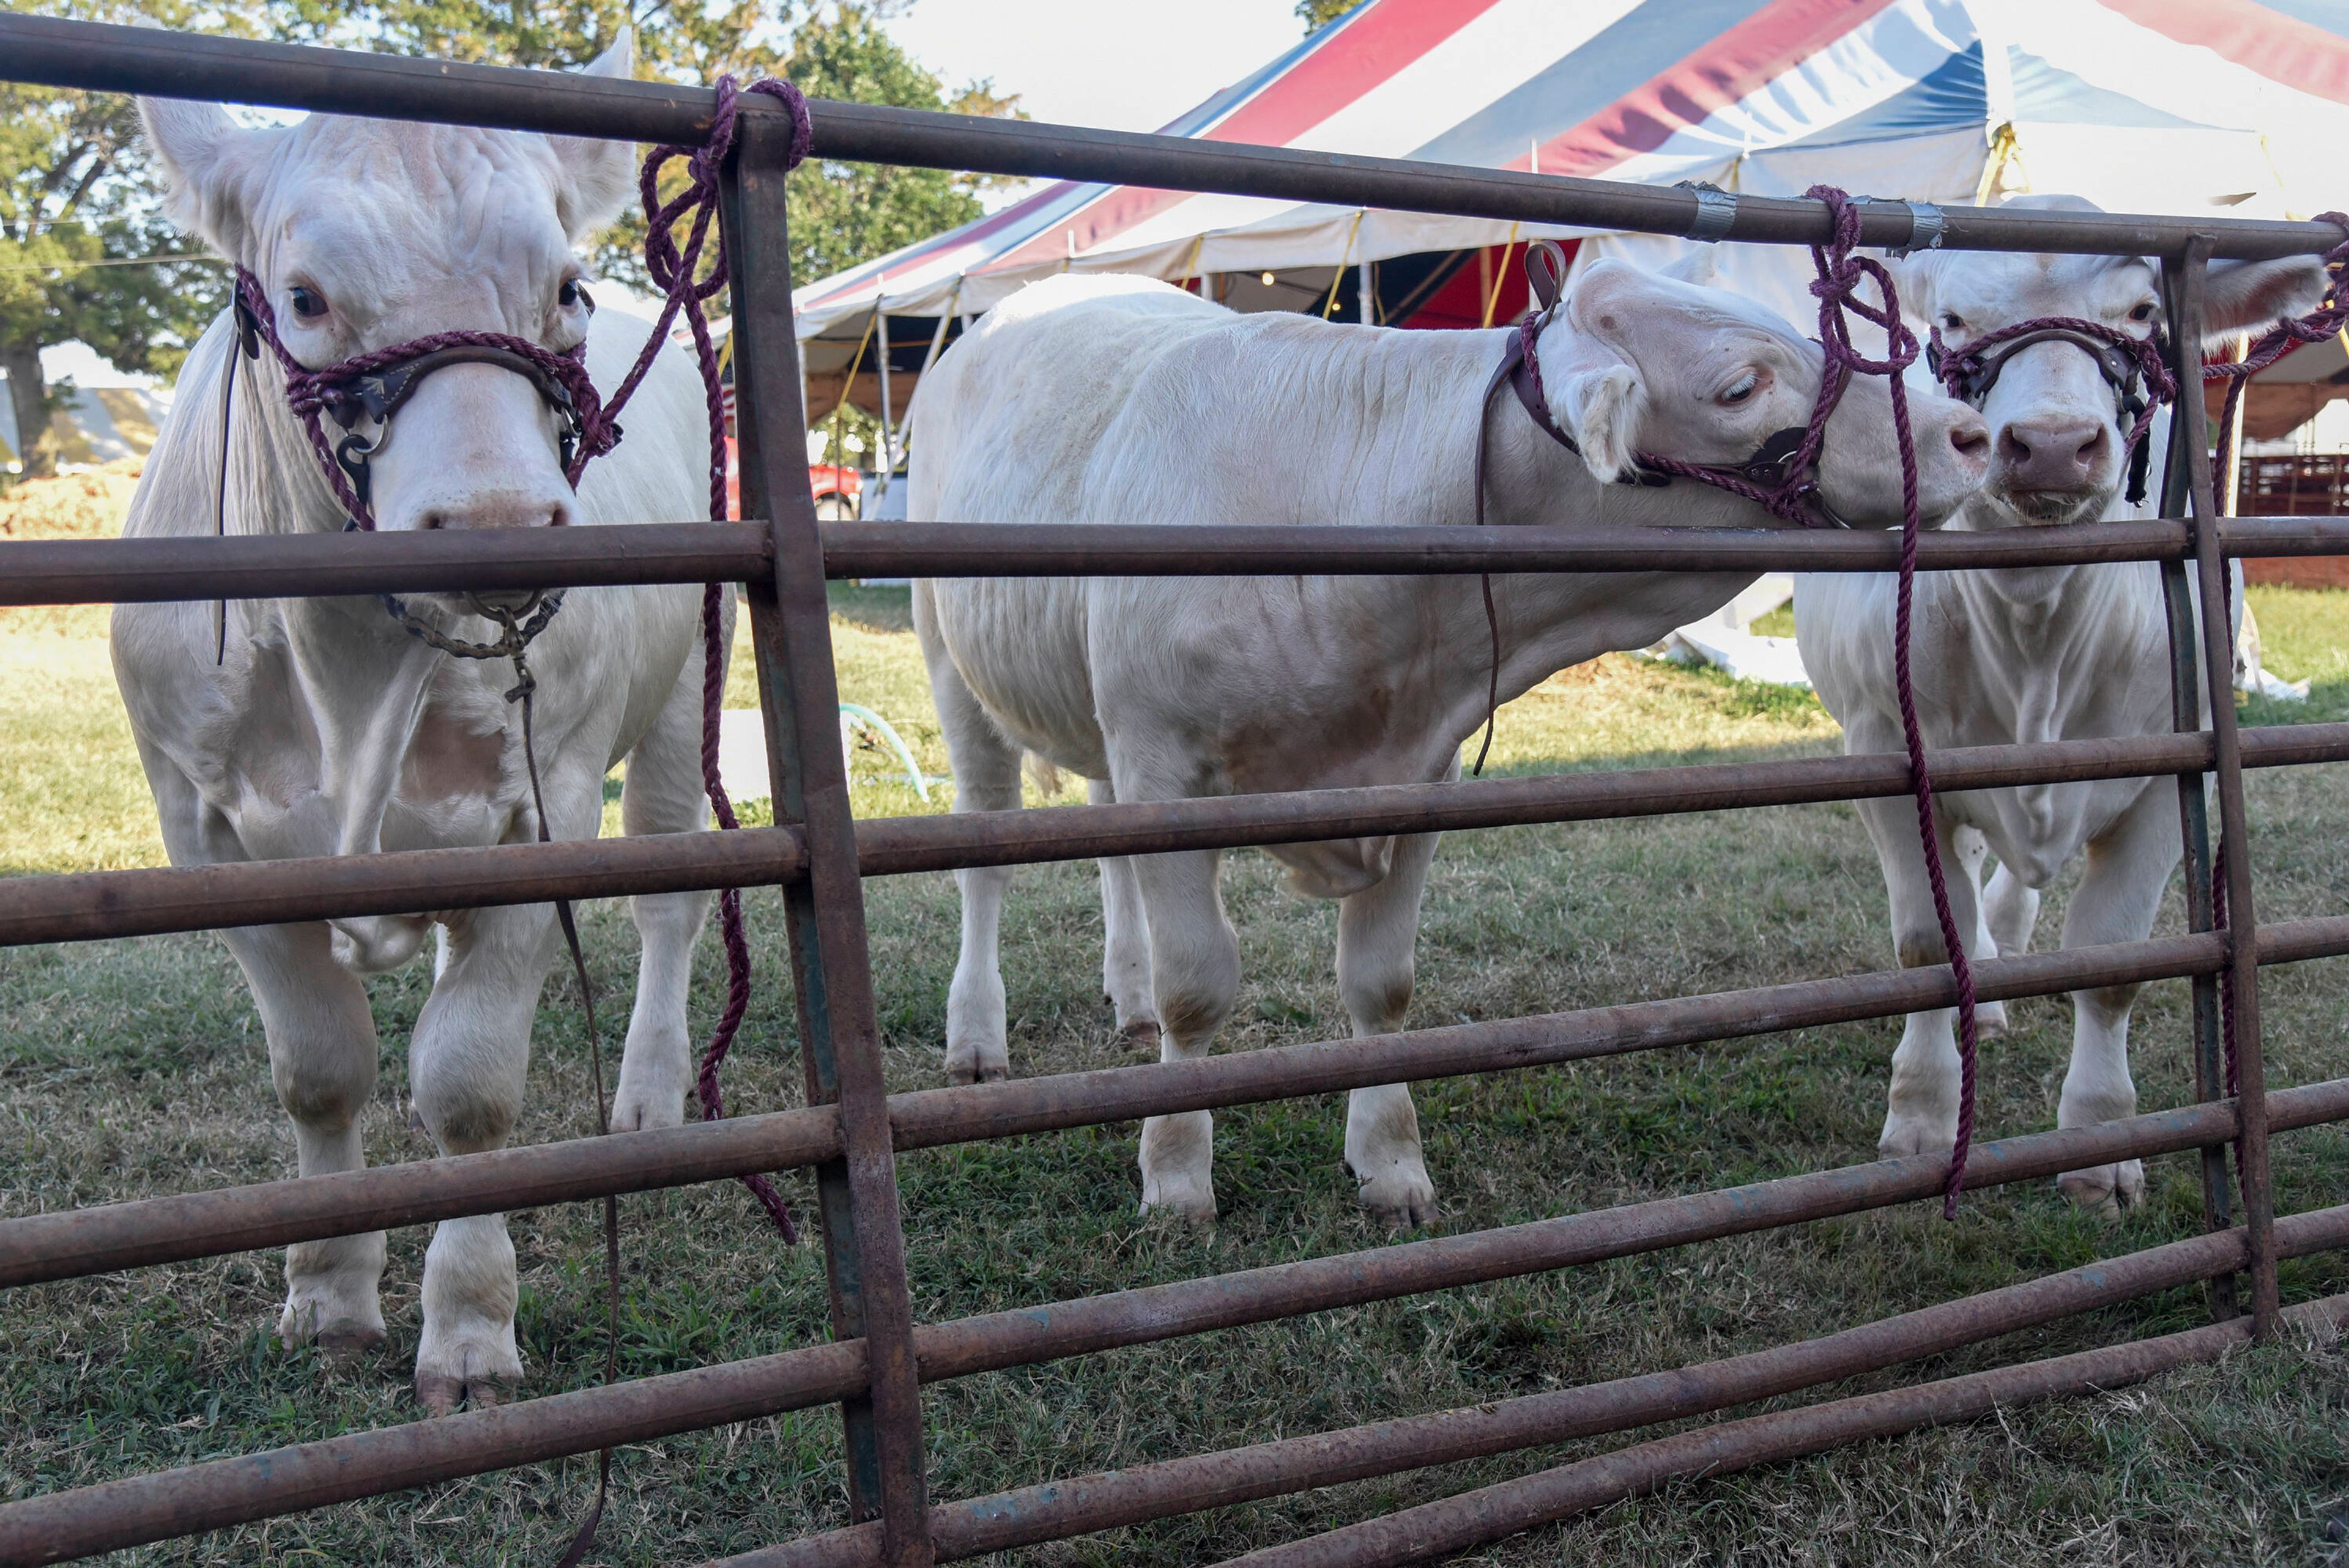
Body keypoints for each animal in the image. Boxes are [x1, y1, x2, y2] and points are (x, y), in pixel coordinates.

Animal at [119, 40, 719, 1408]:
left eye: (568, 289)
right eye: (305, 296)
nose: (500, 525)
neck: (351, 686)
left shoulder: (541, 805)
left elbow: (470, 1084)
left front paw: (470, 1329)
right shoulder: (207, 833)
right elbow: (318, 1066)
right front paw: (331, 1293)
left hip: (676, 708)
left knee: (670, 902)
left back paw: (650, 1095)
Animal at [907, 266, 1992, 1220]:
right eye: (1740, 385)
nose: (1967, 432)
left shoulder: (1415, 771)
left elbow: (1381, 985)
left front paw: (1390, 1164)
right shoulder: (1165, 764)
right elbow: (1197, 990)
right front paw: (1175, 1175)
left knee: (1104, 848)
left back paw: (1122, 999)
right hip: (952, 666)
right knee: (984, 854)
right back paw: (976, 1037)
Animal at [1794, 196, 2330, 1211]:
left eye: (2142, 313)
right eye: (1952, 321)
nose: (2049, 446)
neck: (2034, 629)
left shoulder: (2171, 770)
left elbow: (2113, 964)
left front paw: (2100, 1142)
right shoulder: (1886, 751)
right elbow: (1929, 947)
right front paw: (1923, 1115)